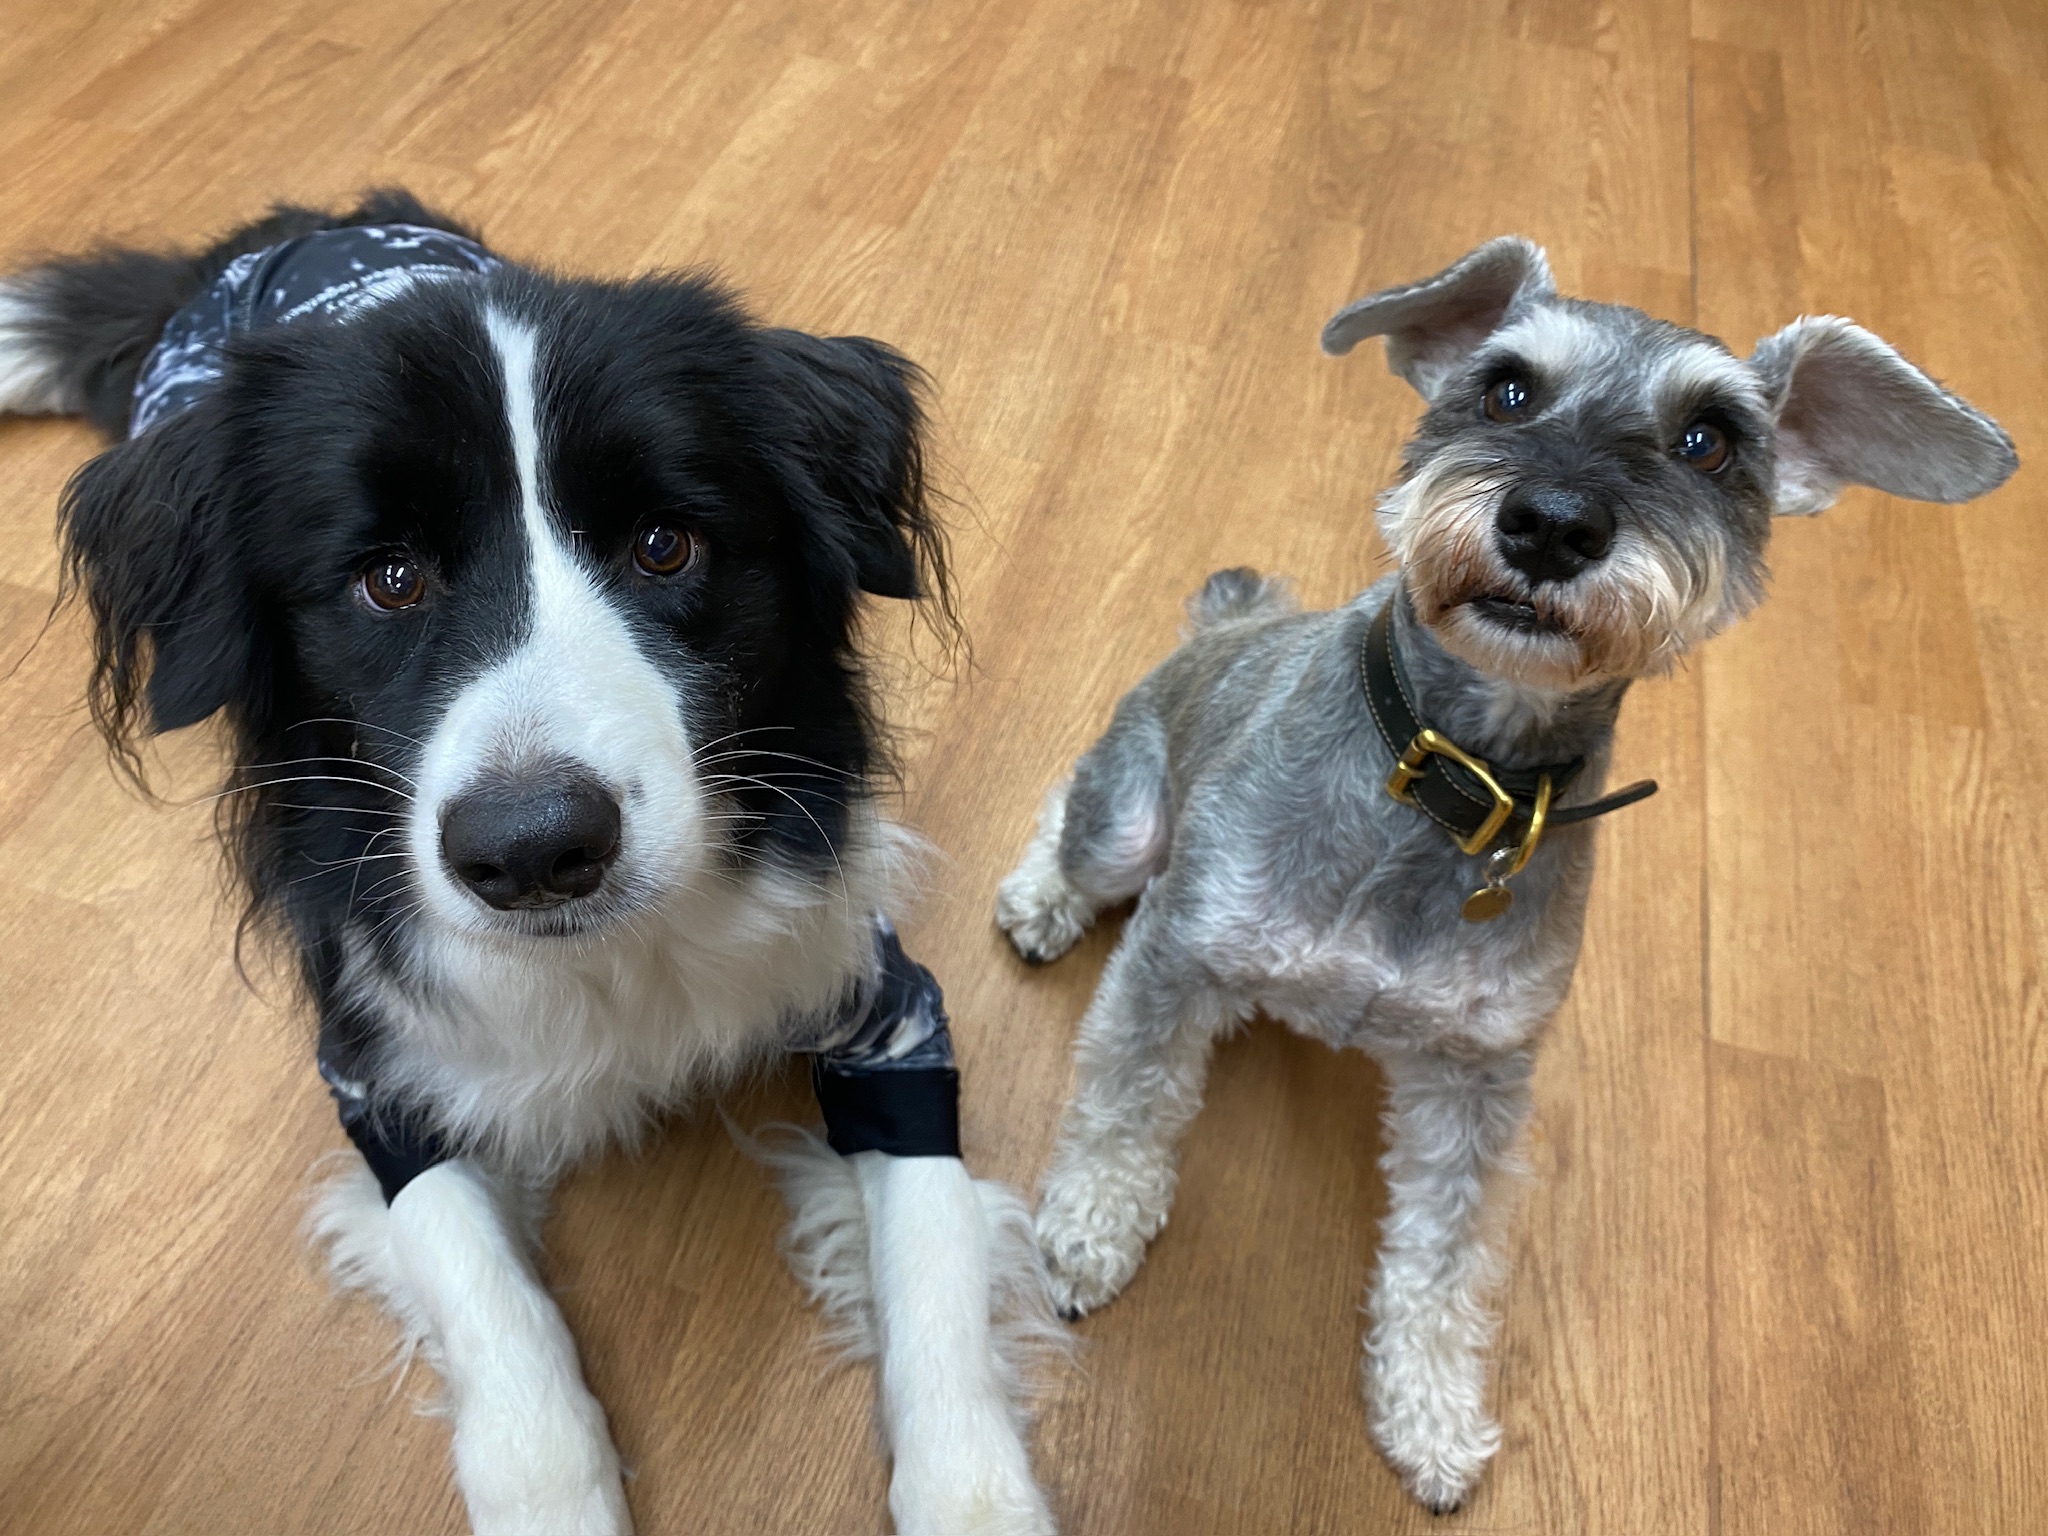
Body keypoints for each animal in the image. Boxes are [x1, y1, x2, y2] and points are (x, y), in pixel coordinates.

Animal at [0, 190, 1062, 1536]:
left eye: (664, 545)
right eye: (388, 578)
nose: (534, 848)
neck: (610, 957)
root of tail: (281, 232)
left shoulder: (886, 1009)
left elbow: (932, 1254)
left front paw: (972, 1493)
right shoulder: (379, 1067)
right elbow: (486, 1303)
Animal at [995, 236, 2016, 1512]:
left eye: (1709, 439)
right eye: (1506, 389)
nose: (1551, 524)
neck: (1456, 783)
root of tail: (1222, 632)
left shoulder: (1474, 1078)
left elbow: (1445, 1257)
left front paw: (1430, 1411)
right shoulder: (1178, 954)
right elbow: (1126, 1100)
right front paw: (1089, 1228)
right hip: (1129, 823)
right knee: (1076, 825)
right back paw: (1040, 895)